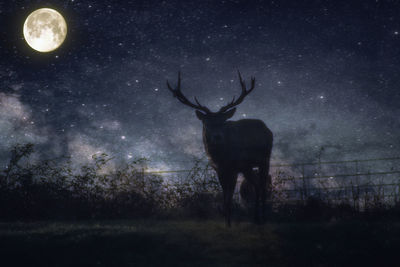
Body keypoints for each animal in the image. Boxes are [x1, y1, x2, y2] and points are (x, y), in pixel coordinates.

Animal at [167, 71, 274, 226]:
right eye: (206, 123)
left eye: (223, 122)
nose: (217, 137)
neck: (222, 156)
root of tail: (267, 129)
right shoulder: (219, 169)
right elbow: (225, 197)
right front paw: (227, 223)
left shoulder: (234, 167)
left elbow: (230, 196)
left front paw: (229, 223)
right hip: (248, 167)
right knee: (257, 185)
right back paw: (256, 218)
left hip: (264, 159)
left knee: (263, 186)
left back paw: (264, 218)